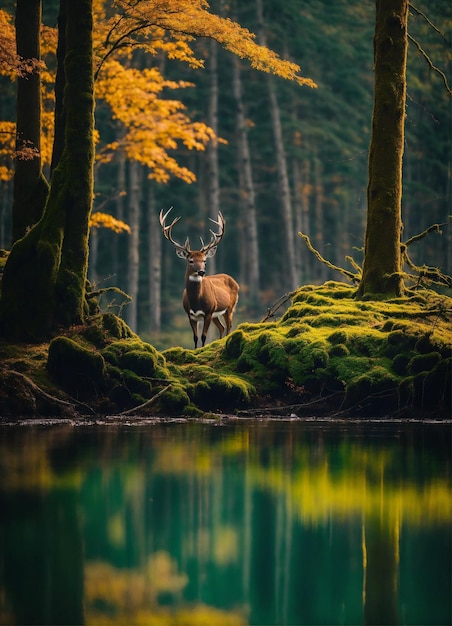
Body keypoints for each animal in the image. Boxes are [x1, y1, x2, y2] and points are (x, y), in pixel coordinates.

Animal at [160, 208, 240, 346]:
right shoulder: (190, 315)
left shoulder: (208, 312)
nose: (202, 272)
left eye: (205, 261)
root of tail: (235, 282)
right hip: (216, 314)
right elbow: (195, 337)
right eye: (191, 261)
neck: (196, 302)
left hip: (229, 307)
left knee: (229, 326)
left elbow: (203, 336)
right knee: (222, 327)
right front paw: (196, 349)